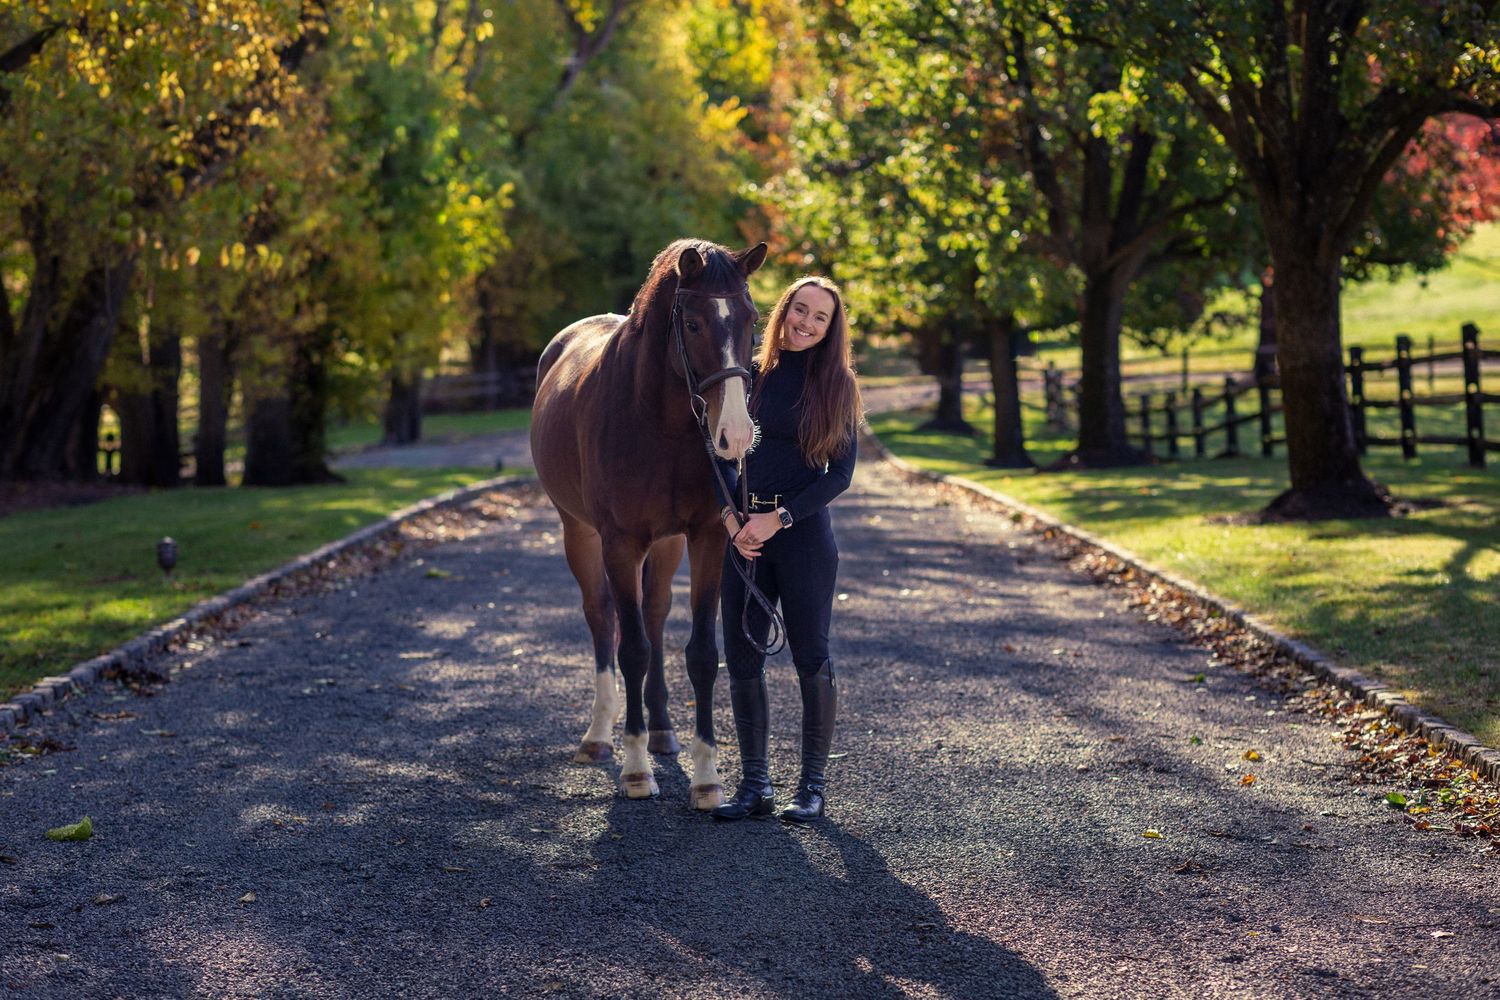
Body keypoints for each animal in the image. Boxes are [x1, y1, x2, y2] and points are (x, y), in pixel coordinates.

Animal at [530, 238, 767, 807]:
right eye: (694, 324)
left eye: (752, 318)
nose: (734, 435)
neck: (660, 422)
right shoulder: (620, 543)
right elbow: (631, 649)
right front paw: (636, 770)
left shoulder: (706, 538)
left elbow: (700, 652)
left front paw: (707, 777)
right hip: (579, 533)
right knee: (603, 618)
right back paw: (599, 736)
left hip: (665, 545)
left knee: (655, 615)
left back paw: (660, 730)